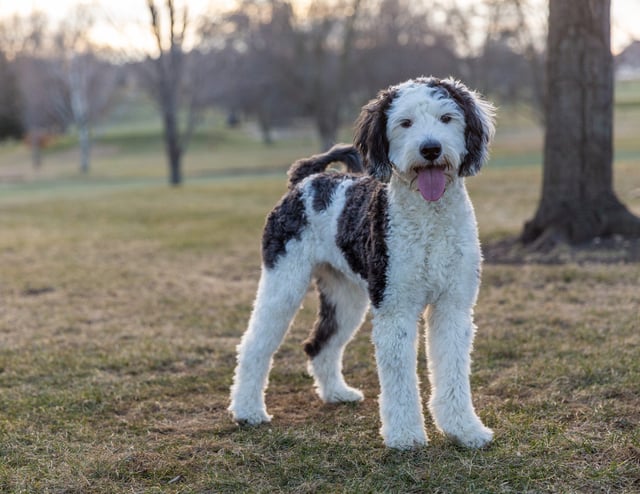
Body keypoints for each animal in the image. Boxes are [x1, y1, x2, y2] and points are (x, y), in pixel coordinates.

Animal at [229, 75, 496, 450]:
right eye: (405, 123)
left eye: (447, 118)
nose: (430, 149)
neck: (429, 221)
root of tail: (305, 180)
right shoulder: (396, 309)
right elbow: (400, 382)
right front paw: (405, 436)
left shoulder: (453, 308)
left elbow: (453, 374)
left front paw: (465, 429)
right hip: (283, 284)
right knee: (254, 345)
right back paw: (247, 410)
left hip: (345, 296)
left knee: (319, 344)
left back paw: (336, 393)